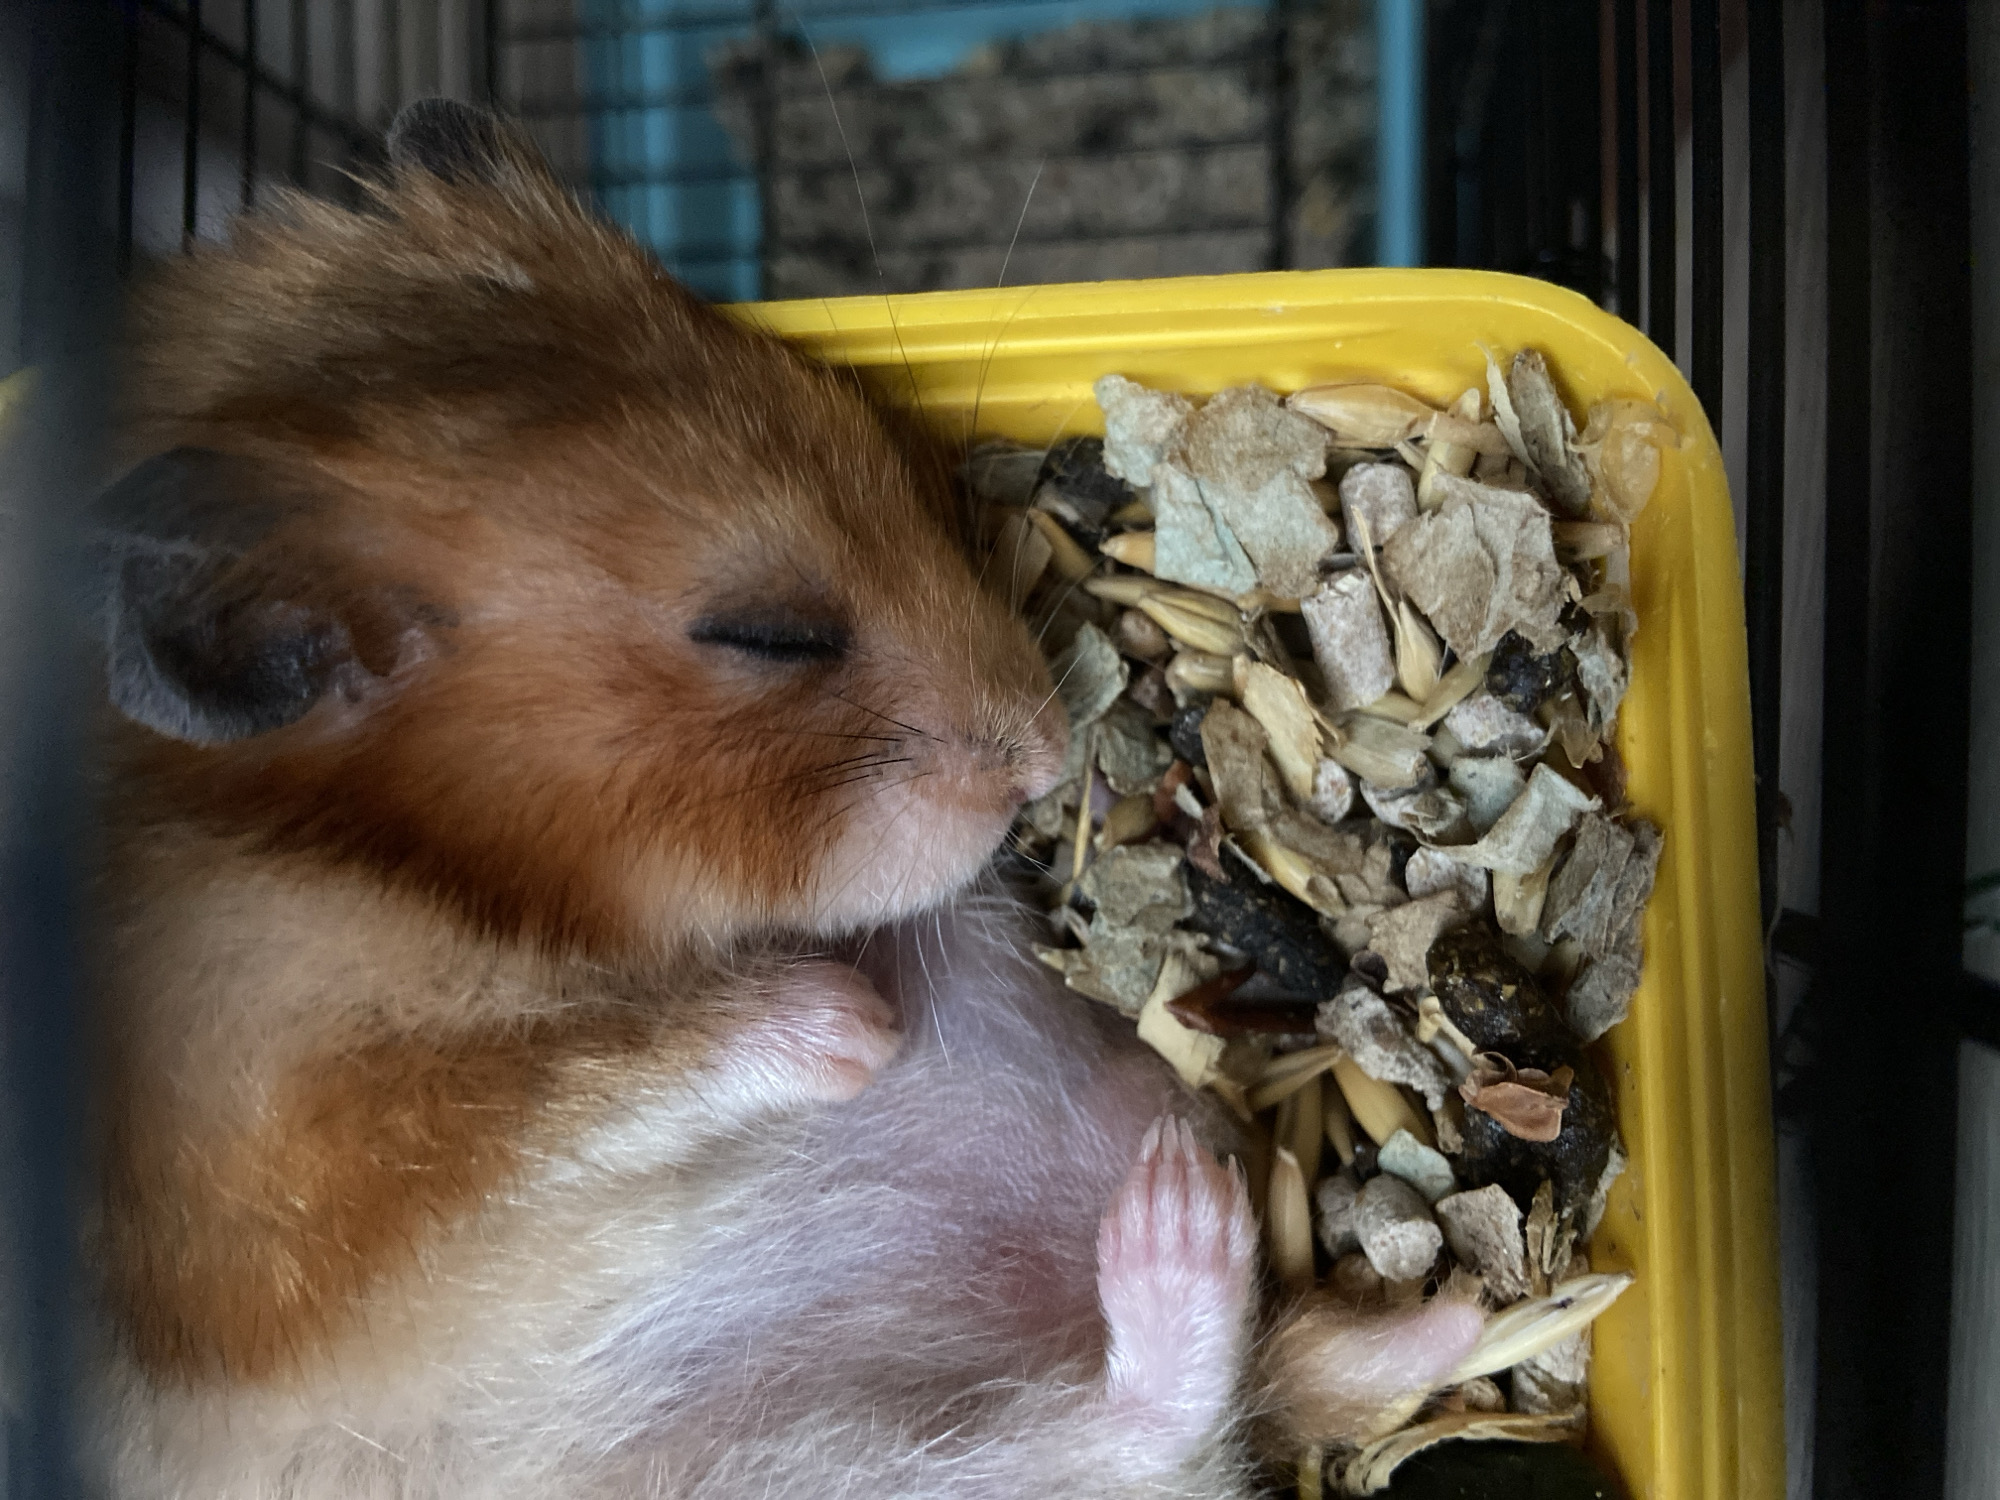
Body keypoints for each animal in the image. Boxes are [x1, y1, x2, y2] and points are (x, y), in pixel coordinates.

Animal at [81, 100, 1482, 1499]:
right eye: (767, 635)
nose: (1040, 759)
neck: (383, 858)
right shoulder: (273, 1173)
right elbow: (543, 1086)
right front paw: (855, 1024)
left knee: (1214, 1408)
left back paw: (1361, 1283)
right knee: (1158, 1430)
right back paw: (1187, 1222)